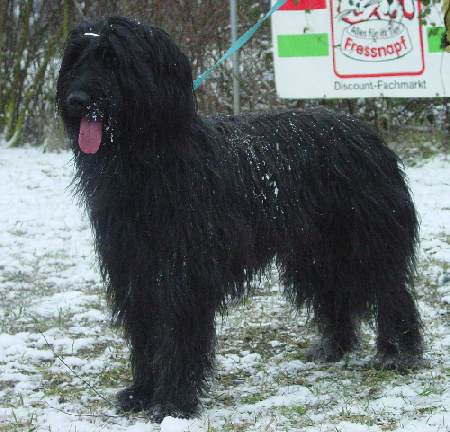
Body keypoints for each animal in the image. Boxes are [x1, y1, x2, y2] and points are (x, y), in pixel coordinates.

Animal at [56, 17, 422, 422]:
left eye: (112, 59)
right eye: (75, 58)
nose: (76, 101)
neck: (151, 159)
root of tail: (366, 134)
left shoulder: (184, 273)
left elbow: (178, 334)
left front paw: (173, 402)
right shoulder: (134, 269)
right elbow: (146, 333)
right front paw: (141, 393)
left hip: (365, 238)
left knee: (391, 291)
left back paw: (399, 354)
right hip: (316, 250)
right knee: (334, 294)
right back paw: (334, 347)